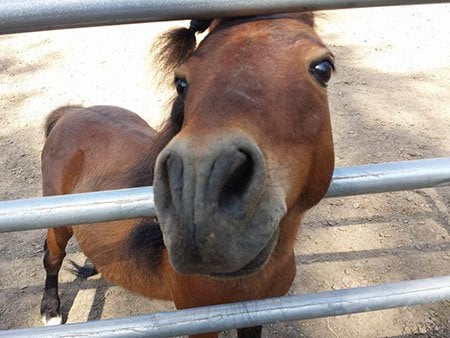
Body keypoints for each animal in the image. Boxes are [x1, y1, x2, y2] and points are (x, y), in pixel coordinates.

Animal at [40, 12, 334, 336]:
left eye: (324, 68)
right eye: (181, 82)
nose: (201, 195)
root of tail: (69, 114)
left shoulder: (256, 317)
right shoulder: (201, 324)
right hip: (58, 224)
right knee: (52, 258)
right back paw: (50, 311)